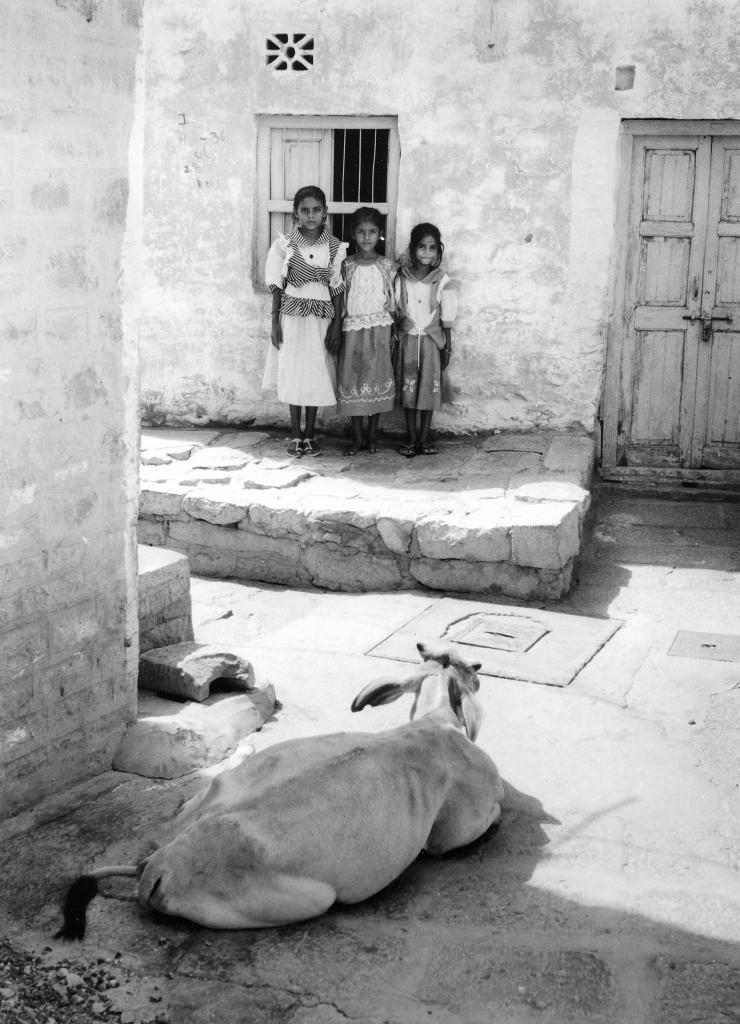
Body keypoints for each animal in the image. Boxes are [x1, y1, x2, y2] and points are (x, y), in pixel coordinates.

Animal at [57, 643, 503, 937]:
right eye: (471, 668)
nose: (481, 670)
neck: (435, 724)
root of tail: (156, 866)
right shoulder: (455, 831)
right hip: (313, 899)